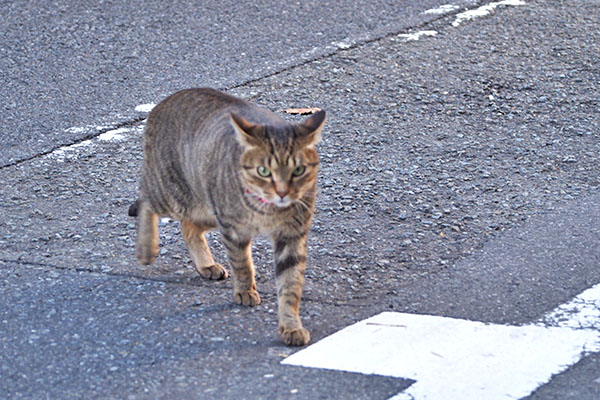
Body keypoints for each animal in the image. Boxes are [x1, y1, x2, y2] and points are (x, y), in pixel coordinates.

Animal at [129, 89, 326, 346]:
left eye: (299, 170)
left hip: (208, 209)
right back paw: (146, 249)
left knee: (188, 227)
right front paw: (244, 290)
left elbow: (290, 286)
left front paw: (291, 326)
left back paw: (206, 265)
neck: (267, 211)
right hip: (172, 195)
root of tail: (162, 102)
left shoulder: (292, 237)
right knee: (144, 198)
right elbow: (242, 265)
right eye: (264, 171)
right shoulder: (233, 230)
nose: (283, 193)